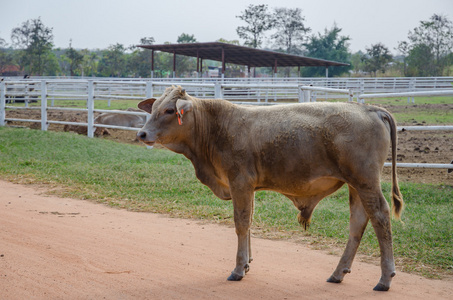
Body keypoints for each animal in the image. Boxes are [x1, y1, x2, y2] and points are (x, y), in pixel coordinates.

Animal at [135, 85, 402, 290]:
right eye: (153, 109)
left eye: (170, 110)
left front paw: (238, 268)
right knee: (357, 223)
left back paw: (385, 278)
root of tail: (370, 109)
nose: (142, 134)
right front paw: (247, 263)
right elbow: (249, 221)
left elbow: (241, 223)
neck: (214, 126)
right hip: (355, 185)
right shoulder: (246, 187)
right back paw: (338, 273)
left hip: (366, 181)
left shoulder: (240, 181)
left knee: (380, 216)